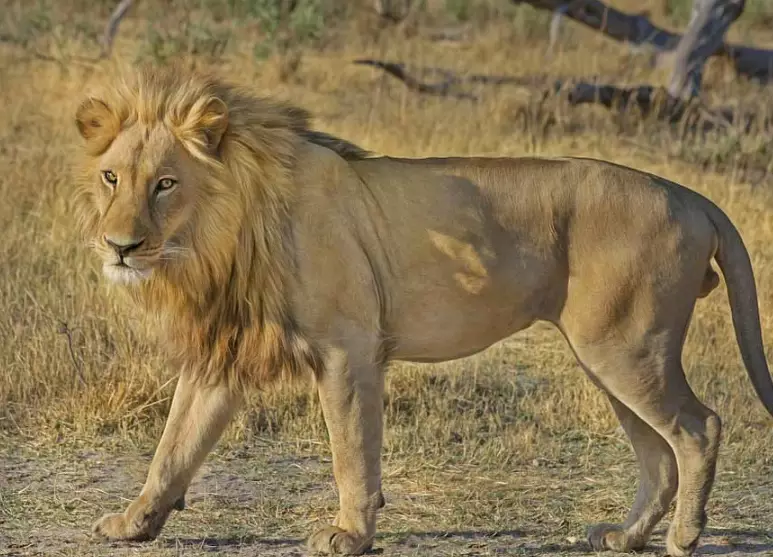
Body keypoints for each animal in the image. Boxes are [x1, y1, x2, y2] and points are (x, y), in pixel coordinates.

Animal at [73, 66, 773, 557]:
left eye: (166, 183)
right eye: (112, 178)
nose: (119, 245)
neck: (220, 237)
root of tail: (688, 194)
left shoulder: (347, 348)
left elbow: (352, 451)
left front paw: (349, 535)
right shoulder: (224, 354)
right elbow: (174, 447)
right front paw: (134, 523)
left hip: (625, 348)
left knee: (699, 428)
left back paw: (684, 538)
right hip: (608, 357)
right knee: (657, 454)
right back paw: (627, 538)